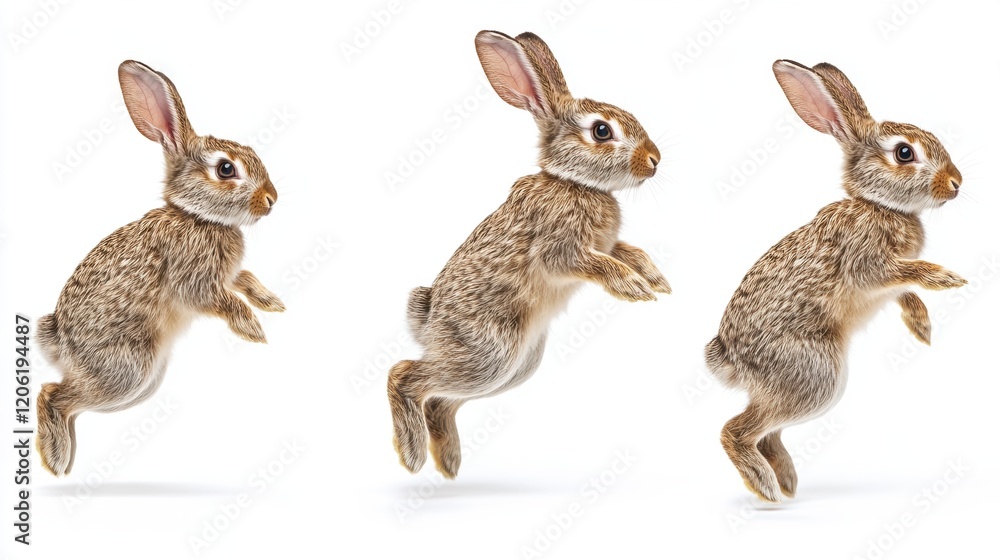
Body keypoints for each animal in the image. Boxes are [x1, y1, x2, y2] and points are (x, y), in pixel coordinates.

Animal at [36, 60, 285, 476]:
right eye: (226, 169)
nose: (271, 199)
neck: (199, 217)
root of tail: (57, 342)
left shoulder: (228, 275)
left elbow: (245, 279)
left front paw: (271, 302)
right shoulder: (196, 282)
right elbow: (223, 300)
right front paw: (252, 329)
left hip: (140, 384)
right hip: (129, 371)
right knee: (52, 395)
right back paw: (55, 459)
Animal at [387, 30, 669, 479]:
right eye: (601, 131)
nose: (655, 161)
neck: (575, 183)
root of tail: (426, 321)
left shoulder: (608, 243)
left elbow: (628, 250)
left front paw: (654, 279)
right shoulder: (562, 250)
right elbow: (595, 262)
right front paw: (633, 287)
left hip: (514, 368)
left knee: (440, 400)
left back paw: (448, 461)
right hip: (490, 354)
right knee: (406, 376)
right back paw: (413, 455)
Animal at [705, 59, 967, 502]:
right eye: (904, 153)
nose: (956, 183)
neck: (879, 205)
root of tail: (729, 360)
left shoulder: (886, 287)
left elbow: (904, 293)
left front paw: (921, 326)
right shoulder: (869, 264)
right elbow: (906, 273)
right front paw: (946, 278)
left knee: (767, 432)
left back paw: (786, 481)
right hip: (817, 376)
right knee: (736, 430)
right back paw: (765, 486)